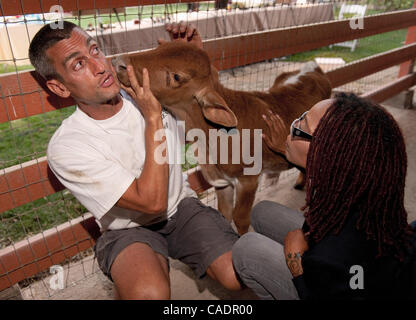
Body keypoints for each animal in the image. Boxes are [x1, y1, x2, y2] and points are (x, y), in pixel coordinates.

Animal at [113, 41, 332, 234]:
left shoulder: (248, 179)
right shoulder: (222, 181)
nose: (120, 62)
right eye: (160, 47)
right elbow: (225, 213)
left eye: (176, 76)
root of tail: (312, 67)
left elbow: (240, 218)